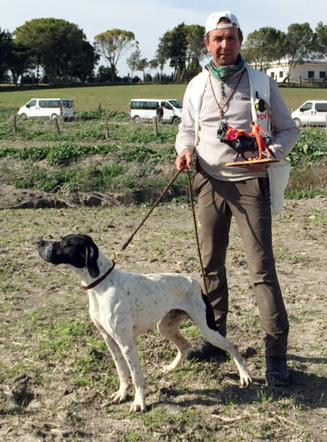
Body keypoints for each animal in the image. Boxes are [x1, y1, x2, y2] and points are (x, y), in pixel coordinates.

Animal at [38, 235, 254, 410]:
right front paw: (122, 394)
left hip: (207, 329)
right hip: (165, 327)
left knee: (232, 346)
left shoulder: (126, 343)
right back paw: (171, 368)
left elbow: (136, 375)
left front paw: (139, 402)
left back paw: (244, 376)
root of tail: (196, 283)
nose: (39, 242)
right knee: (184, 345)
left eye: (65, 243)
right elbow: (122, 371)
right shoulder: (109, 340)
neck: (101, 285)